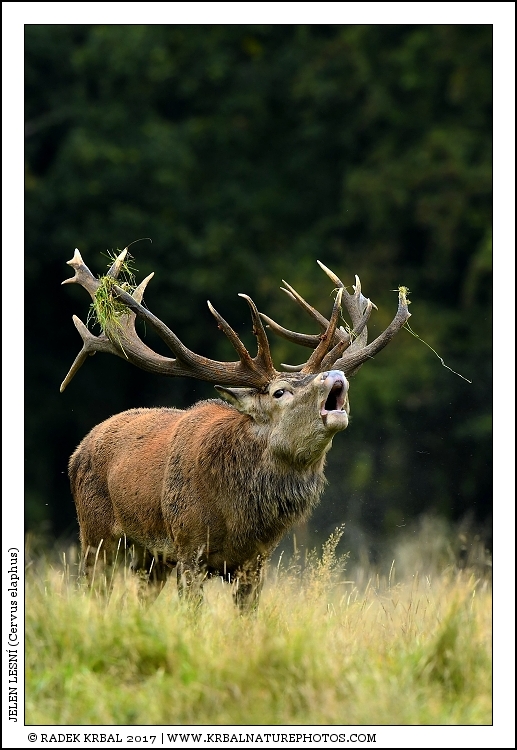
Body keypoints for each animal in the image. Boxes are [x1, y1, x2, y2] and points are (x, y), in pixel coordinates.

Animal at [61, 249, 410, 609]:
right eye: (279, 391)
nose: (335, 375)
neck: (237, 516)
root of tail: (77, 452)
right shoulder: (189, 546)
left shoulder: (257, 561)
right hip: (96, 534)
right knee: (94, 589)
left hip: (150, 557)